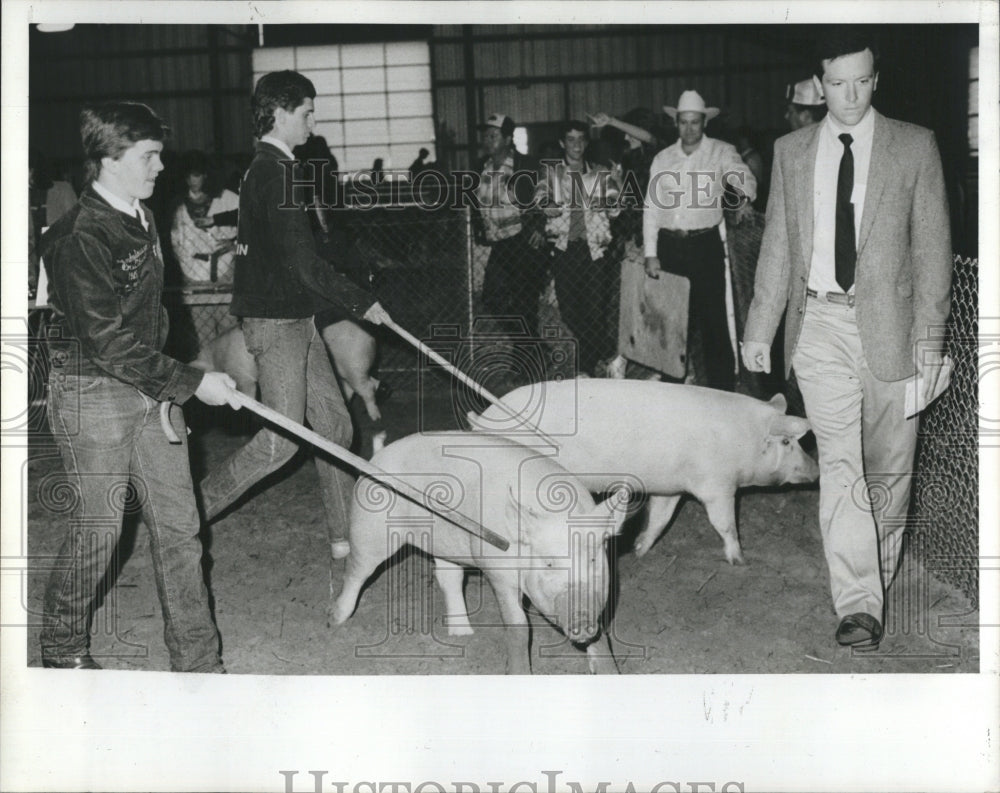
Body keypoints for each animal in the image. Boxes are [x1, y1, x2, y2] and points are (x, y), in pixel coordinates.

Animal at [332, 430, 628, 672]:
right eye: (549, 564)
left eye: (593, 559)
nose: (583, 618)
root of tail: (379, 455)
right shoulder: (499, 573)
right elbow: (519, 627)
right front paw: (519, 673)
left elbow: (601, 632)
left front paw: (609, 673)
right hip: (370, 526)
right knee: (356, 570)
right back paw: (334, 620)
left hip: (445, 541)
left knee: (448, 578)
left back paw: (463, 634)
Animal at [464, 382, 816, 564]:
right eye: (787, 442)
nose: (816, 471)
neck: (743, 439)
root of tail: (480, 422)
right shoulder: (718, 485)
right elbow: (725, 524)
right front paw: (740, 560)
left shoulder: (670, 486)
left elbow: (660, 518)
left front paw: (638, 551)